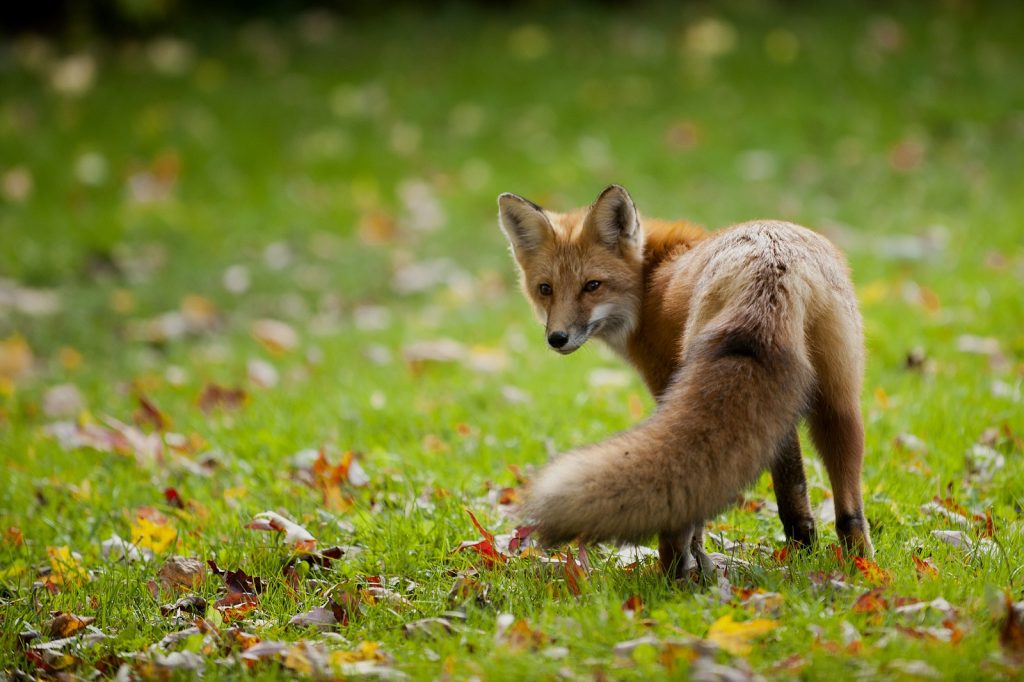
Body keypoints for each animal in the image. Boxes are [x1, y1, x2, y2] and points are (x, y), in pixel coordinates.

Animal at [495, 182, 872, 573]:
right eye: (545, 289)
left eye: (592, 285)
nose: (557, 338)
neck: (649, 283)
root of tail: (772, 260)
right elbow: (792, 484)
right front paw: (802, 548)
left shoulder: (665, 381)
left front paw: (698, 560)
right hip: (839, 401)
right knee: (849, 509)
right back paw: (859, 566)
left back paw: (672, 570)